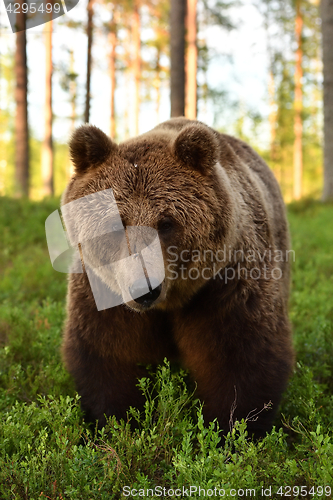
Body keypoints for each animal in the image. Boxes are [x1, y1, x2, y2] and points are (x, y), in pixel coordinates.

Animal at [60, 116, 294, 438]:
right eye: (117, 222)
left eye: (166, 223)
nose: (144, 289)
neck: (170, 301)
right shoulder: (103, 290)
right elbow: (108, 354)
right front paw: (119, 423)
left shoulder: (228, 282)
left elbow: (242, 357)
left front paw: (230, 430)